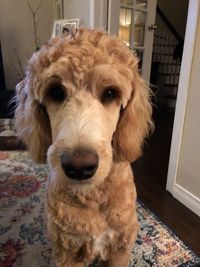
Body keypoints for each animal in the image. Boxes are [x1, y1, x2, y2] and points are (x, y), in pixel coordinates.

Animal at [14, 28, 152, 266]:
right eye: (56, 92)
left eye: (110, 93)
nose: (79, 167)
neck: (92, 196)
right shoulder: (66, 251)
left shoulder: (120, 247)